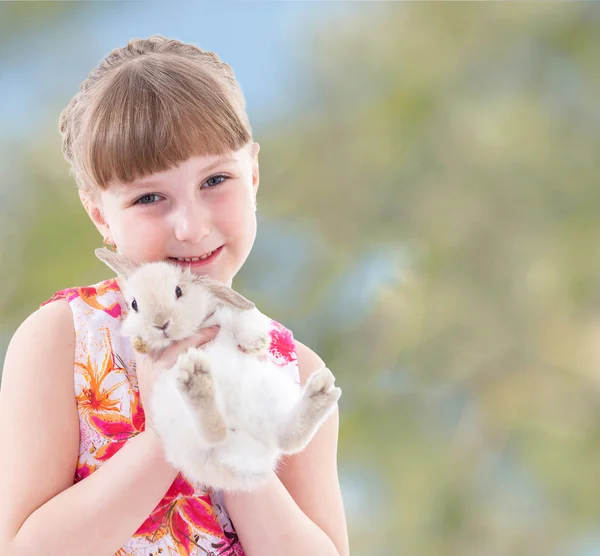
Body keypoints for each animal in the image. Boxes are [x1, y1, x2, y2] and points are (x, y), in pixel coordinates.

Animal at [95, 250, 342, 494]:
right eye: (134, 304)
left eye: (178, 291)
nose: (161, 323)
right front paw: (141, 342)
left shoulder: (225, 314)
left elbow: (243, 320)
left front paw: (257, 342)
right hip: (176, 420)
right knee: (213, 433)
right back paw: (197, 381)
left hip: (267, 391)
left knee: (286, 438)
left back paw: (319, 394)